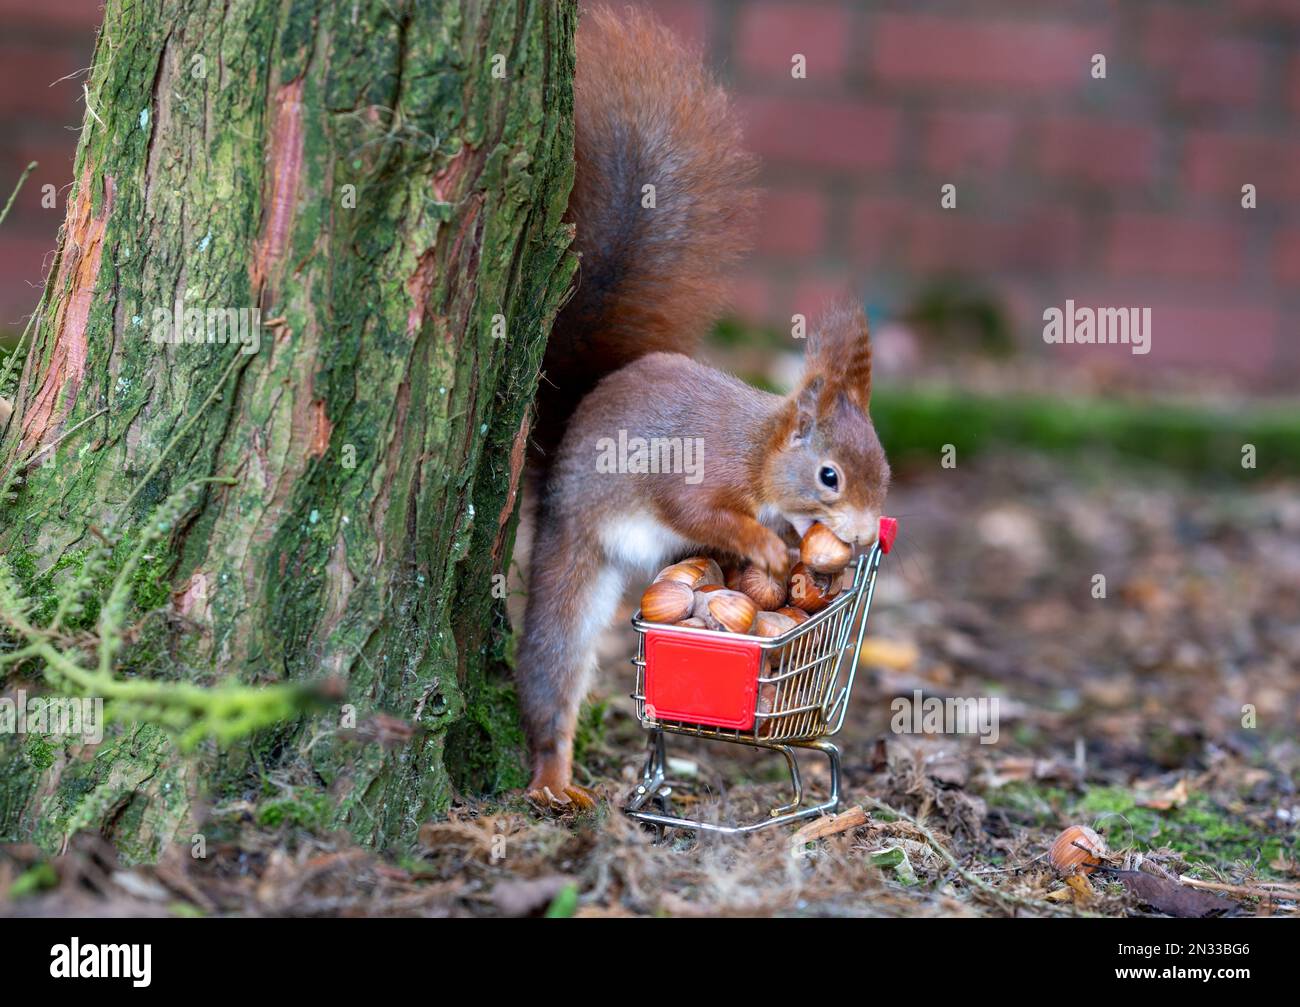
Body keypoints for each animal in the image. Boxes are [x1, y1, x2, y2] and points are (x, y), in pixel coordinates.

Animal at [518, 6, 890, 809]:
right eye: (830, 477)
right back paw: (553, 777)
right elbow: (698, 510)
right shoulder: (695, 471)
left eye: (883, 470)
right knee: (551, 668)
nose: (865, 535)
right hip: (576, 555)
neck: (758, 453)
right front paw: (766, 546)